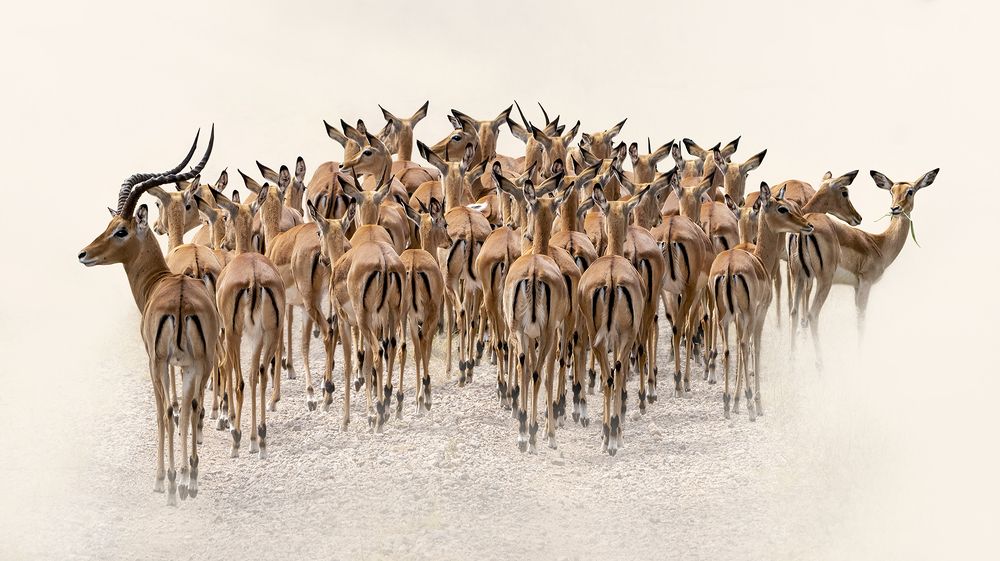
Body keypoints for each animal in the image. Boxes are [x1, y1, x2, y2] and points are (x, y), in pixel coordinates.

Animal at [78, 129, 218, 505]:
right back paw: (190, 480)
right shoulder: (185, 364)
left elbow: (164, 411)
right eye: (109, 223)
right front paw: (183, 474)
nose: (84, 254)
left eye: (121, 230)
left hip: (159, 362)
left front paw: (161, 479)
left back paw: (170, 483)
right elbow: (185, 409)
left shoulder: (156, 361)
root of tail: (182, 301)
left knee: (167, 410)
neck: (160, 280)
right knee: (192, 405)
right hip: (201, 362)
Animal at [577, 185, 646, 456]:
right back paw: (613, 437)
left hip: (597, 338)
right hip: (622, 337)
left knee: (609, 377)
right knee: (615, 376)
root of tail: (611, 278)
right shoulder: (621, 338)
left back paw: (609, 437)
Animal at [709, 182, 813, 420]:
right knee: (745, 345)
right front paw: (755, 402)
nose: (808, 225)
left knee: (728, 350)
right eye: (782, 208)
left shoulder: (739, 316)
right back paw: (749, 405)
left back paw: (727, 403)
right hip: (746, 314)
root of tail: (729, 268)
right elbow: (755, 348)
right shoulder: (759, 312)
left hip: (723, 317)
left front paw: (736, 401)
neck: (760, 258)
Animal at [786, 170, 864, 366]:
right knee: (812, 313)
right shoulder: (811, 278)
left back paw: (792, 359)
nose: (858, 217)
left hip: (796, 274)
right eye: (845, 192)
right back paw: (819, 362)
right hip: (822, 280)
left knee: (793, 311)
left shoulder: (800, 276)